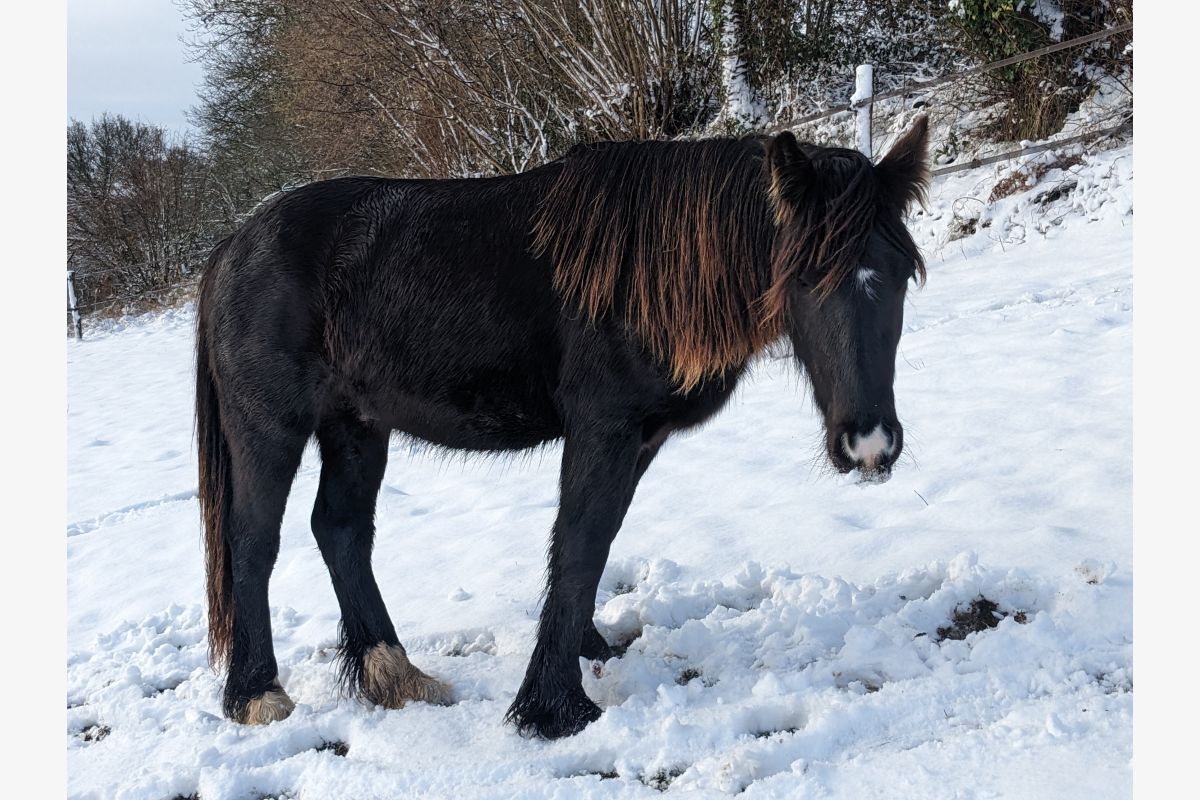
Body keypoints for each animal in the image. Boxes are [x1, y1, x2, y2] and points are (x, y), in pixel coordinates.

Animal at [194, 117, 926, 738]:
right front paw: (555, 707)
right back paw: (257, 695)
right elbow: (577, 543)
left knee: (341, 531)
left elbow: (597, 542)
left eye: (900, 274)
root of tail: (231, 247)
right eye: (805, 275)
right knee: (253, 542)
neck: (647, 271)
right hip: (271, 426)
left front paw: (587, 650)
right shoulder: (604, 427)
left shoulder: (640, 438)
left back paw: (392, 672)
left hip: (356, 427)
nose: (870, 444)